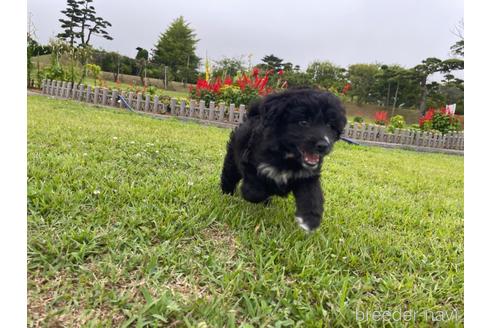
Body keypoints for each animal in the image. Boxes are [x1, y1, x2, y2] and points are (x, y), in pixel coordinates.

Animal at [219, 88, 346, 232]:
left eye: (330, 125)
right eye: (303, 122)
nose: (324, 145)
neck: (288, 156)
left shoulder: (307, 176)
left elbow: (312, 196)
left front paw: (310, 219)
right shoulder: (252, 164)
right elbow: (254, 191)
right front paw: (257, 193)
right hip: (232, 159)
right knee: (229, 175)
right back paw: (227, 193)